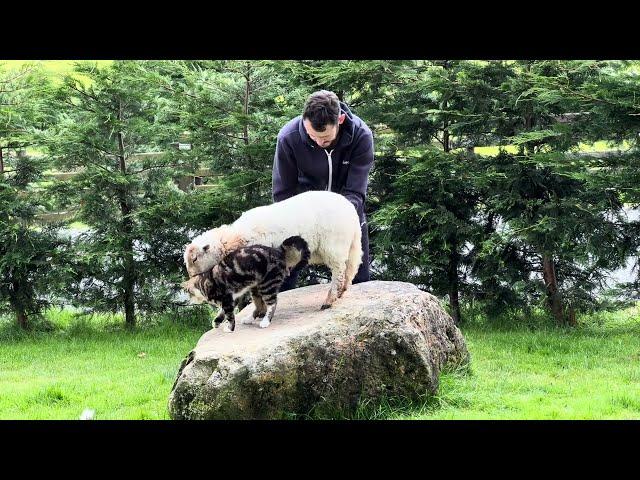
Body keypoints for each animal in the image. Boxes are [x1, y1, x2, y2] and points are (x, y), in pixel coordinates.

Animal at [182, 190, 362, 308]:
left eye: (195, 259)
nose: (191, 277)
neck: (234, 238)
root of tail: (351, 211)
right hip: (351, 244)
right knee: (351, 267)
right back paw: (342, 291)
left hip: (333, 243)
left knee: (339, 270)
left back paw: (329, 299)